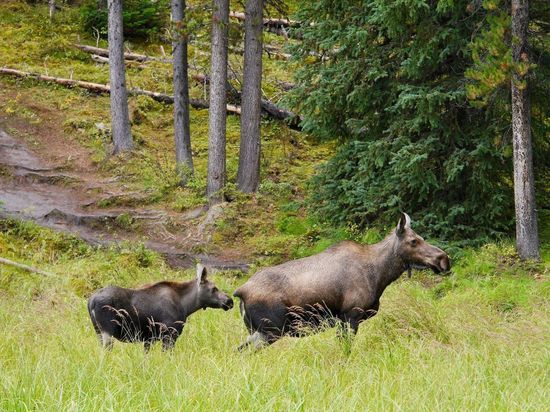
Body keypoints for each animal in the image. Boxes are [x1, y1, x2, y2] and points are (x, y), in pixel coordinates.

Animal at [88, 264, 233, 350]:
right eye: (214, 288)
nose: (229, 301)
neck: (187, 306)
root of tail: (90, 302)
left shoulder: (148, 339)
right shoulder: (170, 335)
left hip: (98, 332)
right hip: (107, 333)